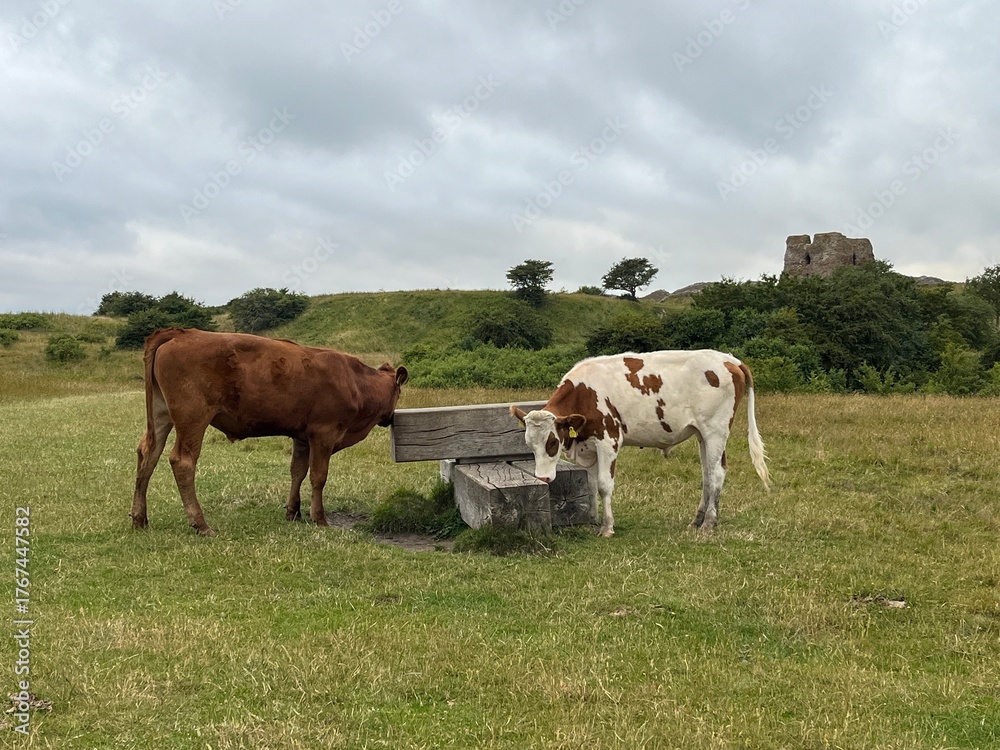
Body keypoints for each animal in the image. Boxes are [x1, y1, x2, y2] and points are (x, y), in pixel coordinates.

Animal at [131, 328, 408, 536]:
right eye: (399, 393)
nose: (391, 418)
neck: (354, 382)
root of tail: (181, 332)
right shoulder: (324, 433)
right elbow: (318, 476)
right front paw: (319, 518)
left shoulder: (302, 437)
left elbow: (297, 471)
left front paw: (293, 511)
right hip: (193, 417)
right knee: (183, 461)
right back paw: (200, 524)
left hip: (161, 414)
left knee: (148, 454)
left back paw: (140, 518)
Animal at [510, 350, 769, 537]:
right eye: (529, 444)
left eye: (552, 442)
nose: (543, 478)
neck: (585, 393)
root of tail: (730, 359)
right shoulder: (588, 447)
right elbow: (591, 485)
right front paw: (593, 521)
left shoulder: (609, 441)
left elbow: (604, 485)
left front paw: (607, 527)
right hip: (702, 434)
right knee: (707, 474)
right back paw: (698, 520)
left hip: (716, 431)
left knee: (716, 473)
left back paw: (709, 523)